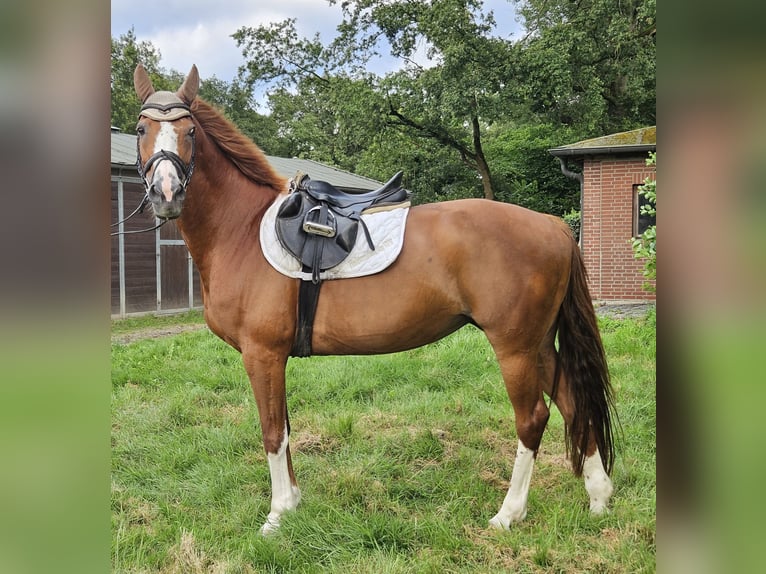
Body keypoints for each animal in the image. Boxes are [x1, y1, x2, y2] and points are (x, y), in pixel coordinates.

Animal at [134, 63, 616, 536]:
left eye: (190, 131)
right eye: (141, 129)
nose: (166, 194)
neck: (243, 231)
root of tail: (553, 224)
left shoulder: (262, 354)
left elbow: (272, 432)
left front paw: (277, 515)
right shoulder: (273, 358)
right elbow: (285, 427)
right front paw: (294, 503)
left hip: (514, 346)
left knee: (532, 418)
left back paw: (508, 514)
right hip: (539, 343)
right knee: (572, 400)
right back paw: (598, 498)